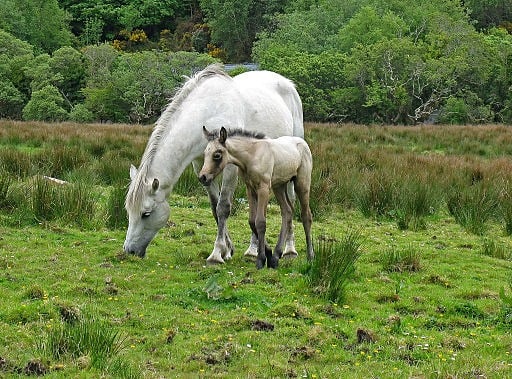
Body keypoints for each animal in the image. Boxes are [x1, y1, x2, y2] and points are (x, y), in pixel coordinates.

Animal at [199, 126, 312, 268]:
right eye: (205, 153)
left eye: (217, 155)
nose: (203, 177)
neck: (252, 155)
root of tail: (302, 142)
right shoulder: (250, 189)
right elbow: (252, 221)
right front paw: (268, 254)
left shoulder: (263, 188)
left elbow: (260, 222)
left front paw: (261, 259)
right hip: (279, 186)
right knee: (287, 211)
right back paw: (276, 256)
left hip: (302, 184)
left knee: (306, 216)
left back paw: (310, 256)